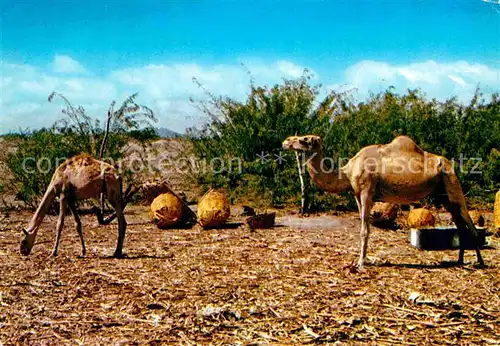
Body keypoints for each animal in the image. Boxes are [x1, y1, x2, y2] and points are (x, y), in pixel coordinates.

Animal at [284, 134, 486, 268]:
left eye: (304, 139)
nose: (285, 141)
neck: (347, 172)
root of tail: (447, 163)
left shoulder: (367, 191)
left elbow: (365, 230)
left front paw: (361, 262)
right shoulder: (357, 194)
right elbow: (363, 226)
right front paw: (361, 259)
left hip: (451, 181)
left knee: (468, 220)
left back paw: (480, 261)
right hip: (441, 193)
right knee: (459, 222)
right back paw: (460, 260)